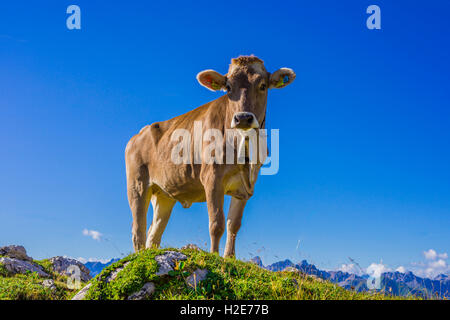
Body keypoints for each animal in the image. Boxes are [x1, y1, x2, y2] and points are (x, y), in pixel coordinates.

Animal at [125, 55, 296, 258]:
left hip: (163, 195)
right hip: (137, 186)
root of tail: (138, 135)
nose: (243, 118)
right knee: (138, 231)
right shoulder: (212, 177)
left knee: (153, 234)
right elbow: (216, 224)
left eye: (262, 85)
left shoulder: (245, 187)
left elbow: (233, 225)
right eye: (228, 87)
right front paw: (214, 256)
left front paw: (229, 257)